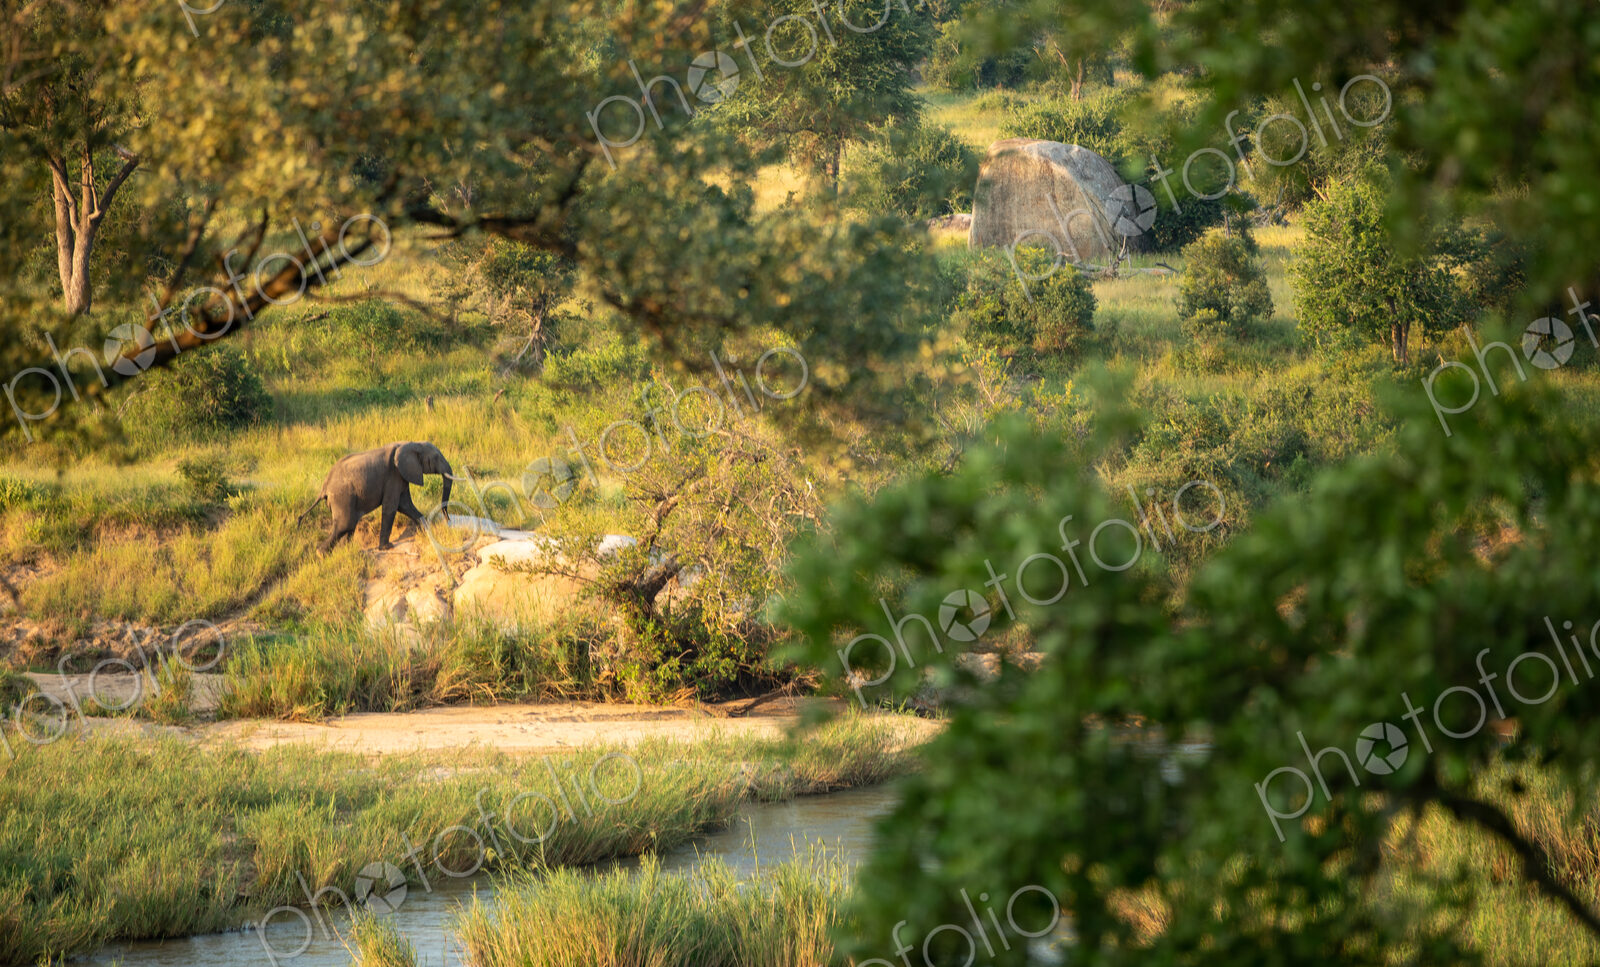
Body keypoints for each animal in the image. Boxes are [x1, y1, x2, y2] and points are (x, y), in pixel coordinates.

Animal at [297, 442, 454, 551]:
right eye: (436, 457)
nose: (449, 521)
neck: (412, 443)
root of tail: (324, 487)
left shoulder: (402, 476)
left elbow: (405, 505)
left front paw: (425, 529)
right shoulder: (393, 475)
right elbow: (391, 507)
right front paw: (386, 547)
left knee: (349, 525)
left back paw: (346, 550)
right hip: (342, 496)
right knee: (345, 524)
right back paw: (321, 553)